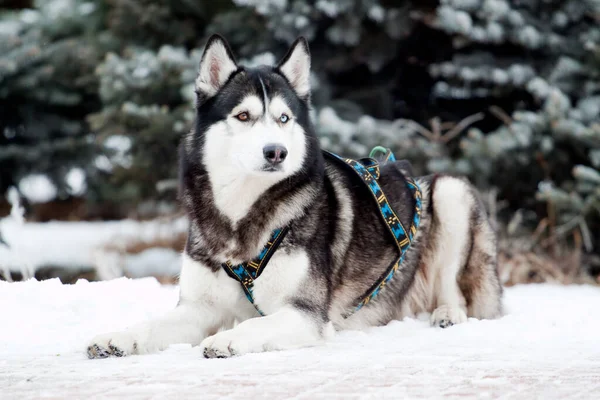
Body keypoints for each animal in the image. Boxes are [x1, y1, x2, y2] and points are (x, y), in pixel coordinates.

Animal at [88, 35, 502, 360]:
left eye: (284, 118)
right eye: (243, 116)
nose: (276, 152)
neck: (242, 217)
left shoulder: (305, 314)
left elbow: (253, 326)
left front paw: (226, 340)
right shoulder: (198, 307)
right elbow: (153, 323)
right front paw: (118, 336)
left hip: (451, 193)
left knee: (457, 291)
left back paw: (448, 314)